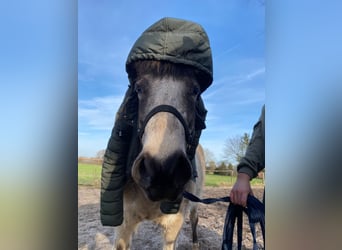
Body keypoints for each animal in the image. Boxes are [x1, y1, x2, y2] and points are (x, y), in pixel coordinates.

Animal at [113, 60, 206, 250]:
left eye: (195, 91)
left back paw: (195, 242)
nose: (163, 169)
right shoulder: (124, 225)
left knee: (194, 218)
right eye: (139, 88)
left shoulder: (173, 225)